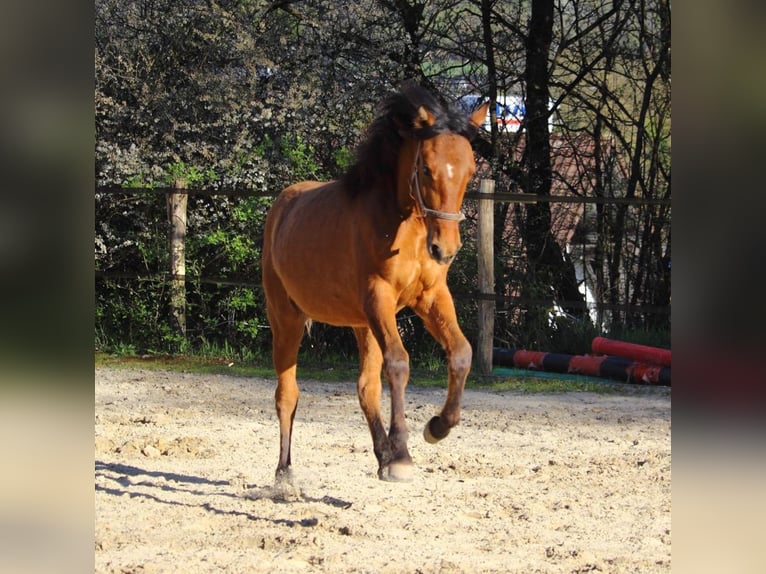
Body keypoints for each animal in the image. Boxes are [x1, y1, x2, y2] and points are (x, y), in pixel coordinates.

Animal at [262, 83, 489, 483]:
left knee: (365, 387)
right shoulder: (378, 297)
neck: (404, 226)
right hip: (286, 319)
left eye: (470, 169)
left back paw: (383, 455)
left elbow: (461, 353)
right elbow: (398, 363)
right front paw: (402, 454)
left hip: (362, 325)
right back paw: (284, 474)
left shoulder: (431, 297)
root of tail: (281, 208)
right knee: (287, 394)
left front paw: (437, 427)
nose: (445, 249)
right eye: (426, 169)